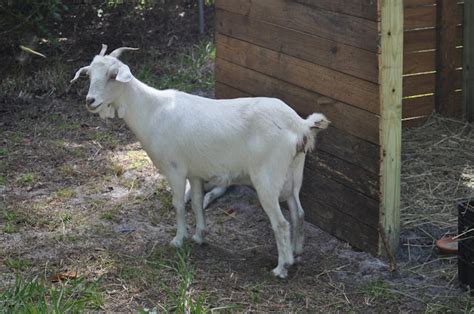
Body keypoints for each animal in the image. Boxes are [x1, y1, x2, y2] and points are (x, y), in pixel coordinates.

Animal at [72, 44, 330, 278]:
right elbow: (196, 202)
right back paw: (297, 253)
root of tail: (300, 126)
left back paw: (281, 267)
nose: (90, 100)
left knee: (281, 223)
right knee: (298, 213)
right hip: (293, 174)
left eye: (112, 76)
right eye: (89, 75)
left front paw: (178, 240)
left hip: (267, 177)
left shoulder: (175, 169)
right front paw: (199, 236)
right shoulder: (195, 172)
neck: (152, 110)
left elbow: (178, 204)